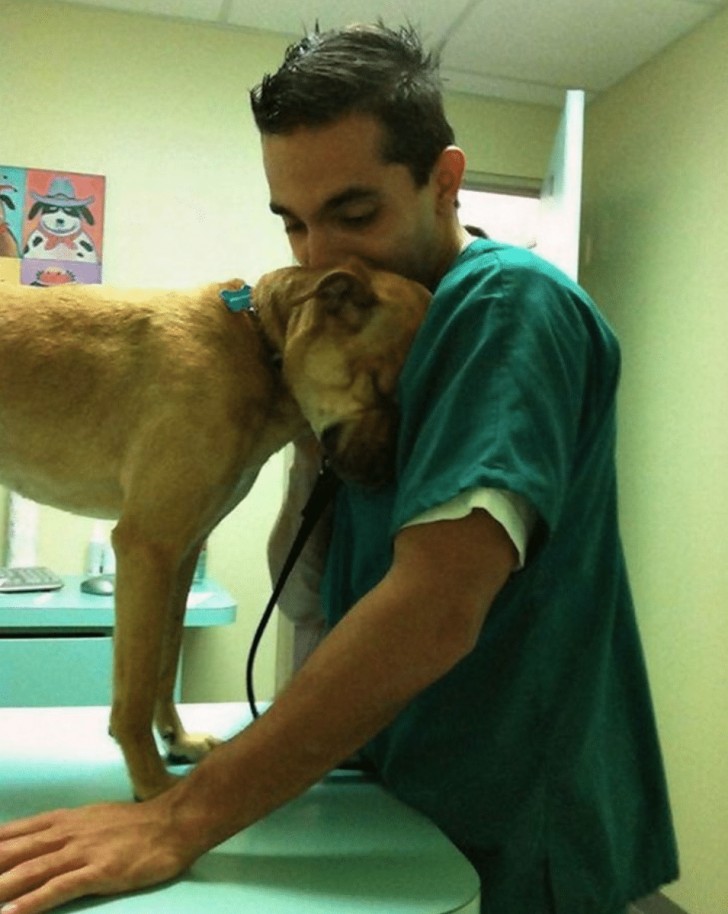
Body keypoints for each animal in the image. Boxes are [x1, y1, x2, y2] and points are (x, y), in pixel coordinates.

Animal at [0, 260, 430, 796]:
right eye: (382, 387)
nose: (388, 481)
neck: (258, 344)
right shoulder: (148, 546)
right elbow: (135, 690)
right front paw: (151, 784)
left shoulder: (181, 554)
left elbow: (166, 662)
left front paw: (176, 739)